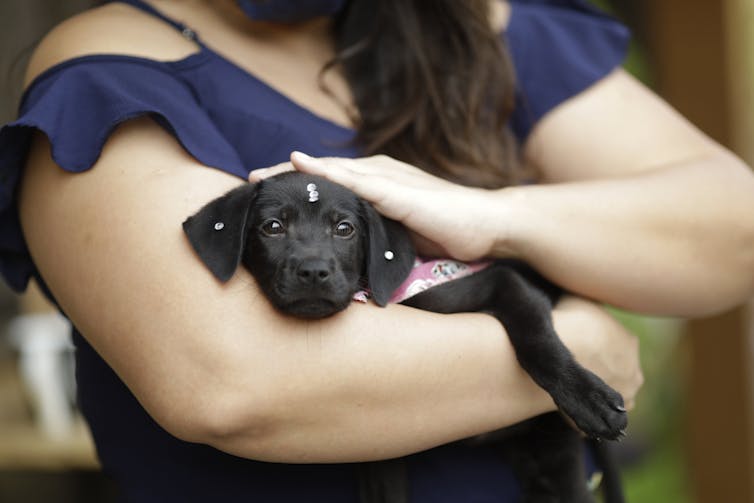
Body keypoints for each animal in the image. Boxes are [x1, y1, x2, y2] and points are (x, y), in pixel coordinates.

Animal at [185, 171, 624, 502]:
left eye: (344, 229)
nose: (313, 272)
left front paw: (589, 397)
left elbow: (536, 337)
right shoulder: (379, 449)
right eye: (272, 227)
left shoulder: (501, 282)